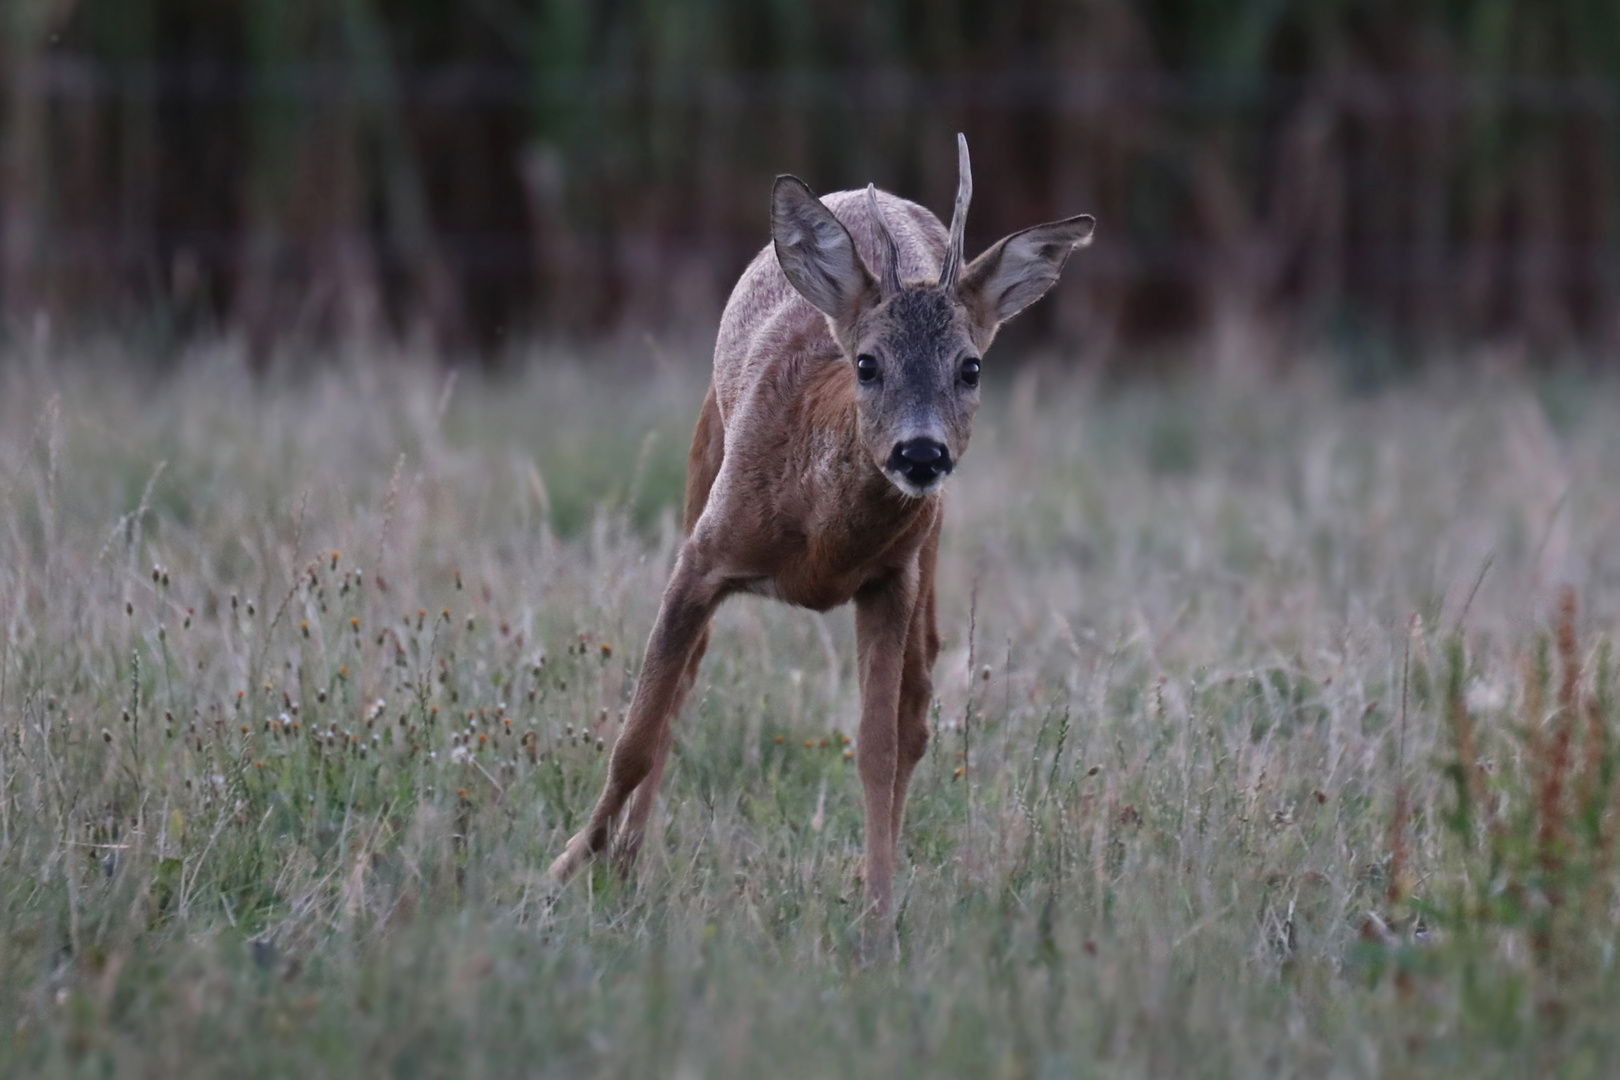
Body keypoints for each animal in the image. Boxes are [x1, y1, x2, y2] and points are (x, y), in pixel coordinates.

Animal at [550, 132, 1095, 913]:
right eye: (866, 364)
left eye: (970, 368)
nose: (921, 453)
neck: (820, 543)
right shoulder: (702, 557)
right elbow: (634, 737)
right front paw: (562, 867)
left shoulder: (890, 581)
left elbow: (877, 748)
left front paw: (876, 913)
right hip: (702, 460)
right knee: (683, 685)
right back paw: (624, 861)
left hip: (928, 545)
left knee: (918, 700)